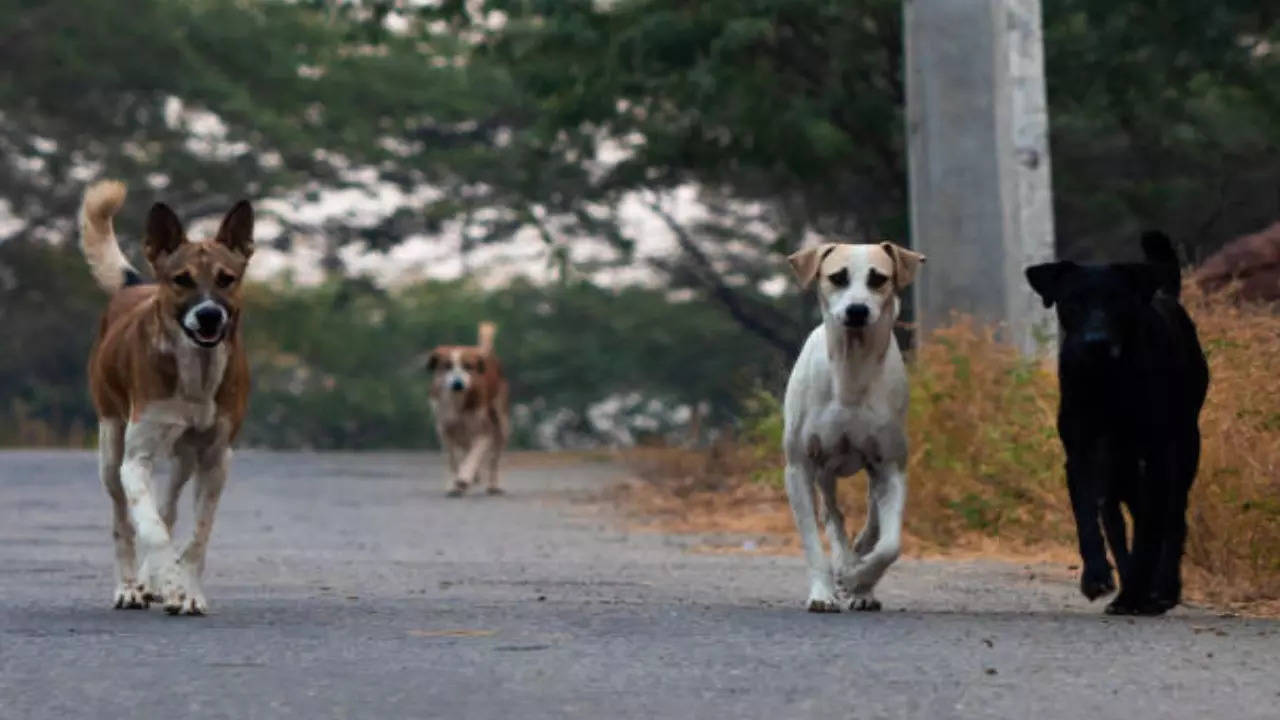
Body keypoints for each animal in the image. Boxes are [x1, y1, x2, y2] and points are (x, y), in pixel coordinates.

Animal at [80, 178, 254, 609]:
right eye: (182, 279)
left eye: (226, 278)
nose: (209, 315)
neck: (197, 374)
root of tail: (136, 285)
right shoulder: (135, 460)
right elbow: (152, 530)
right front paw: (168, 582)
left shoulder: (215, 459)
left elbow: (196, 536)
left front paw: (187, 591)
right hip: (110, 445)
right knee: (124, 522)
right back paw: (130, 586)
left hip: (184, 459)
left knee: (169, 505)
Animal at [430, 324, 509, 497]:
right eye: (447, 366)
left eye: (468, 366)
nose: (457, 383)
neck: (457, 402)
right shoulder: (445, 429)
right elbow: (453, 459)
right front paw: (454, 486)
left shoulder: (483, 431)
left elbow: (474, 455)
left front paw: (464, 478)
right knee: (465, 449)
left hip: (501, 422)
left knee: (494, 456)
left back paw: (492, 485)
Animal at [778, 242, 931, 609]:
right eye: (838, 277)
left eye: (878, 278)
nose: (857, 310)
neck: (851, 372)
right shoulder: (799, 467)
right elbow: (813, 541)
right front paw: (824, 592)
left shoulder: (890, 466)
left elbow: (890, 545)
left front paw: (858, 579)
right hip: (824, 472)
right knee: (833, 515)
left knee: (872, 521)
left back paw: (859, 577)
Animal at [1024, 230, 1203, 609]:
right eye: (1072, 301)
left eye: (1118, 301)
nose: (1096, 342)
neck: (1106, 380)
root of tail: (1165, 295)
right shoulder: (1080, 454)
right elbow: (1088, 518)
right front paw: (1096, 576)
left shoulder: (1157, 456)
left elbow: (1151, 527)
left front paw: (1141, 589)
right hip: (1119, 471)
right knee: (1121, 521)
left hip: (1185, 447)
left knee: (1173, 518)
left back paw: (1162, 588)